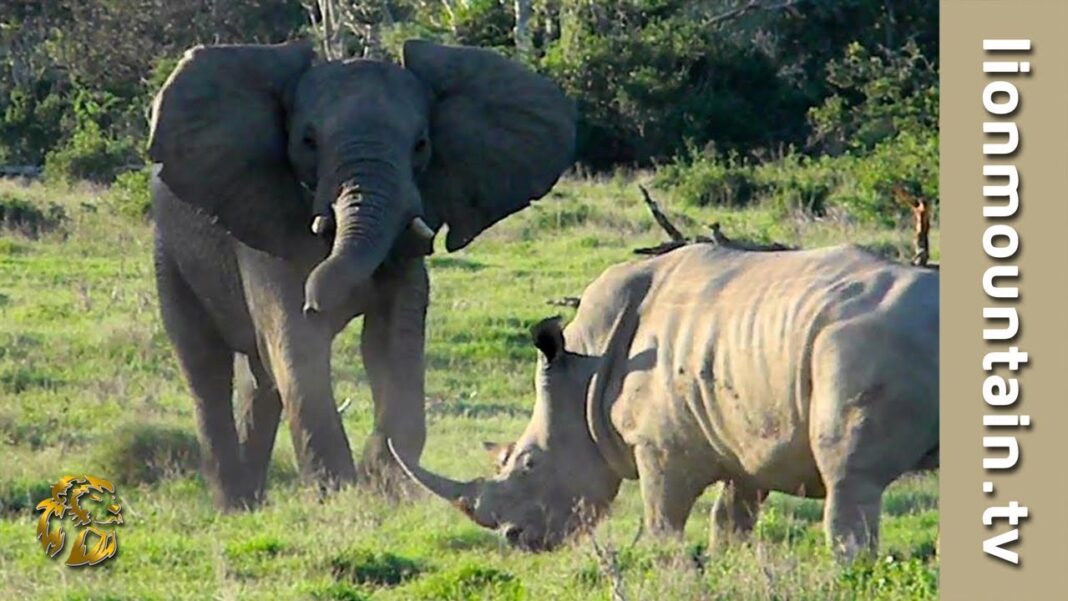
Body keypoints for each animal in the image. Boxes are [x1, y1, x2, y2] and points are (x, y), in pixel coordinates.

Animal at [146, 39, 576, 510]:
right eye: (308, 141)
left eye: (421, 144)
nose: (316, 302)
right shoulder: (265, 225)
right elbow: (295, 342)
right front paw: (336, 496)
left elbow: (391, 340)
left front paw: (384, 485)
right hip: (168, 251)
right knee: (205, 366)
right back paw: (234, 506)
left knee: (259, 379)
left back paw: (252, 501)